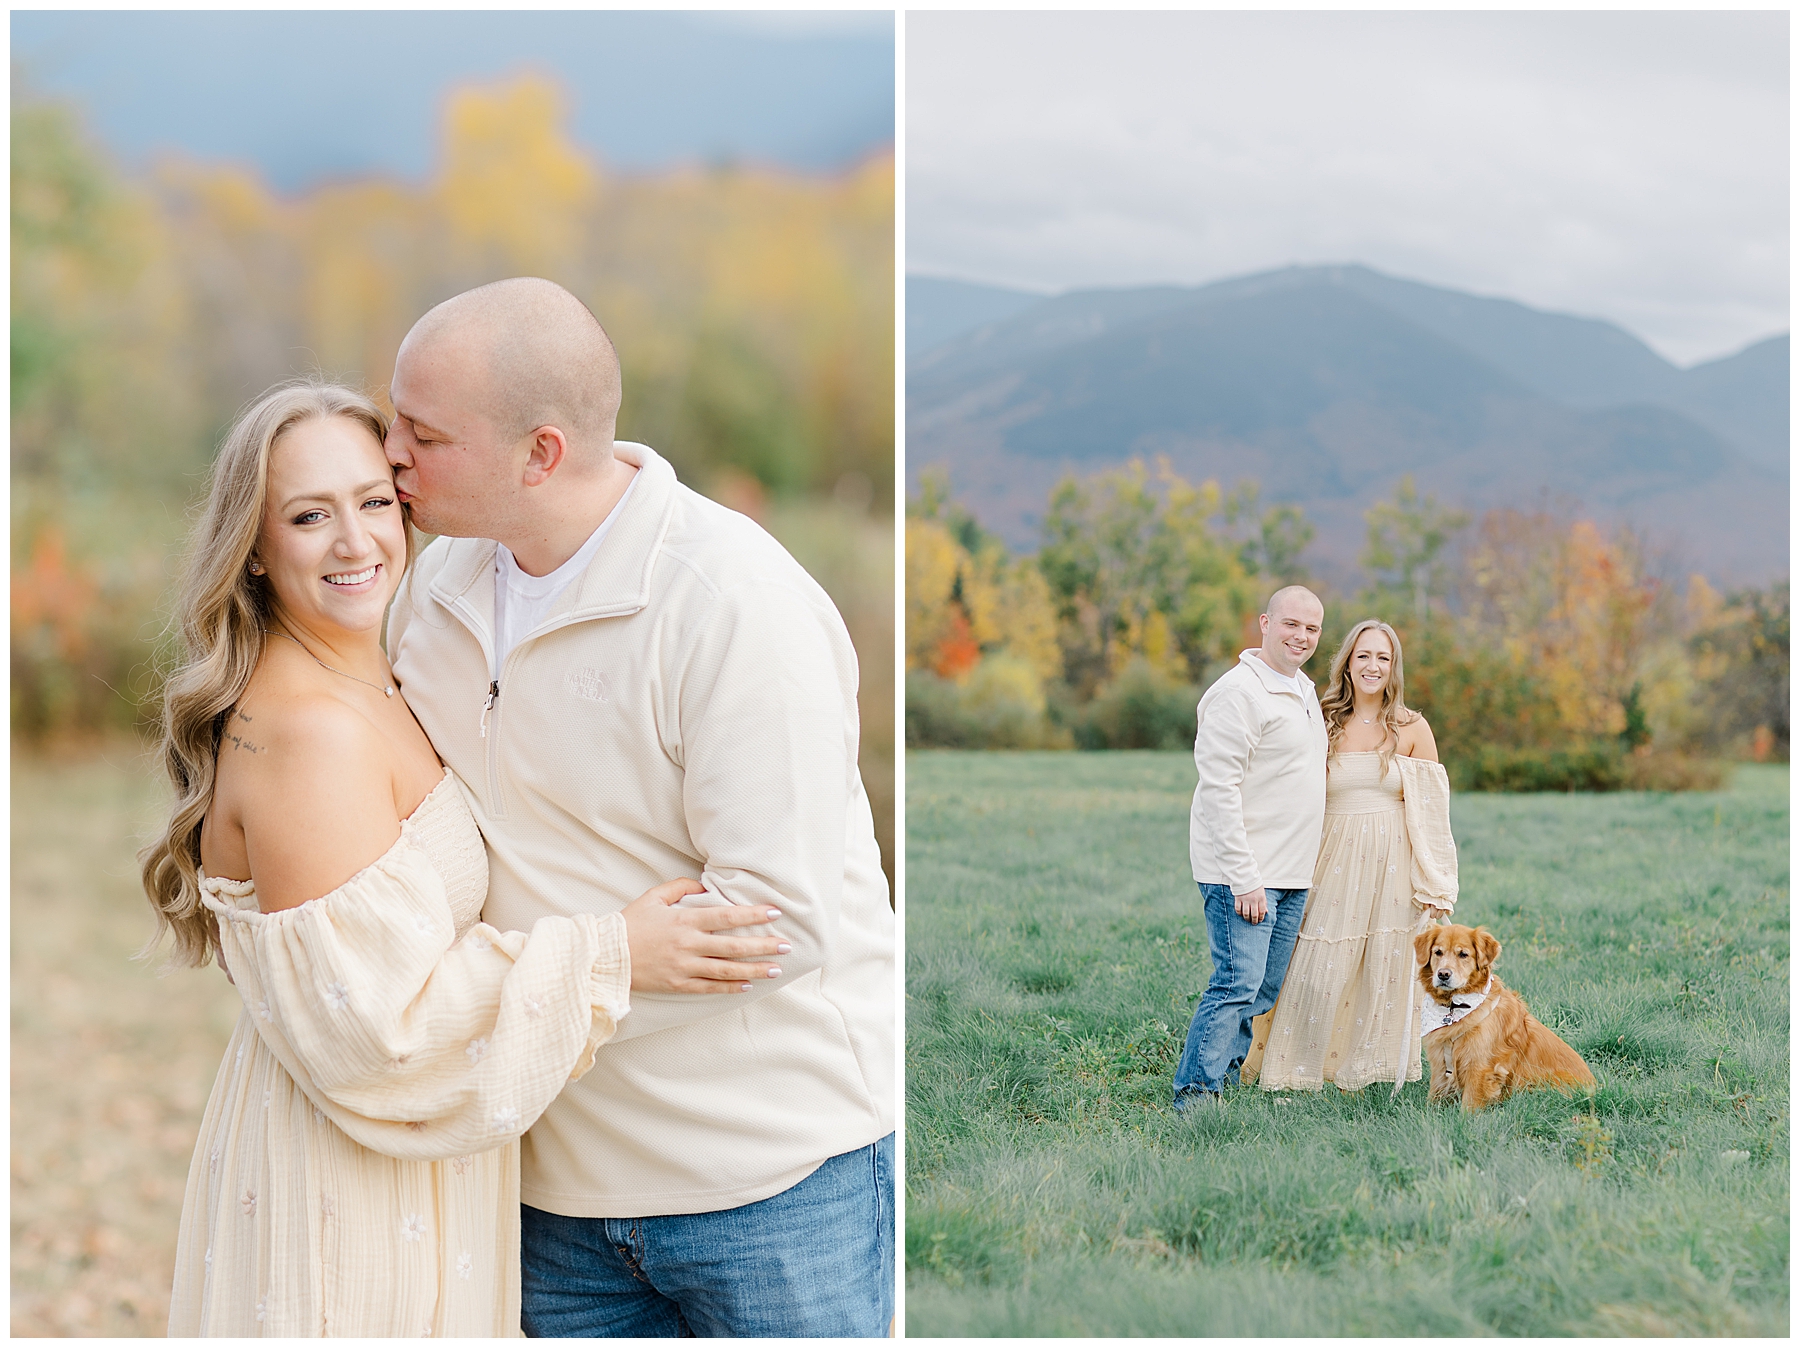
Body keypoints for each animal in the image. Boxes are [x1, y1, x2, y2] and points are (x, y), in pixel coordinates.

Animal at [1411, 921, 1598, 1108]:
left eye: (1463, 954)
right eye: (1438, 952)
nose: (1443, 974)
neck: (1455, 1006)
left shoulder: (1479, 1066)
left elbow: (1469, 1106)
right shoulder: (1440, 1064)